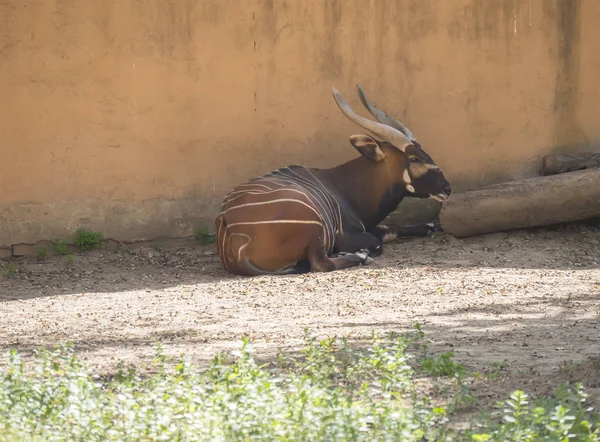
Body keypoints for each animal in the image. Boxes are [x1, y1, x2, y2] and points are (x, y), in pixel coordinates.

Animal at [216, 84, 450, 274]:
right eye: (414, 158)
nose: (447, 188)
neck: (346, 187)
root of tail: (234, 236)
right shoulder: (349, 235)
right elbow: (377, 241)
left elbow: (391, 228)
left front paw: (430, 225)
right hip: (314, 228)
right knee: (321, 264)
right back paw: (358, 256)